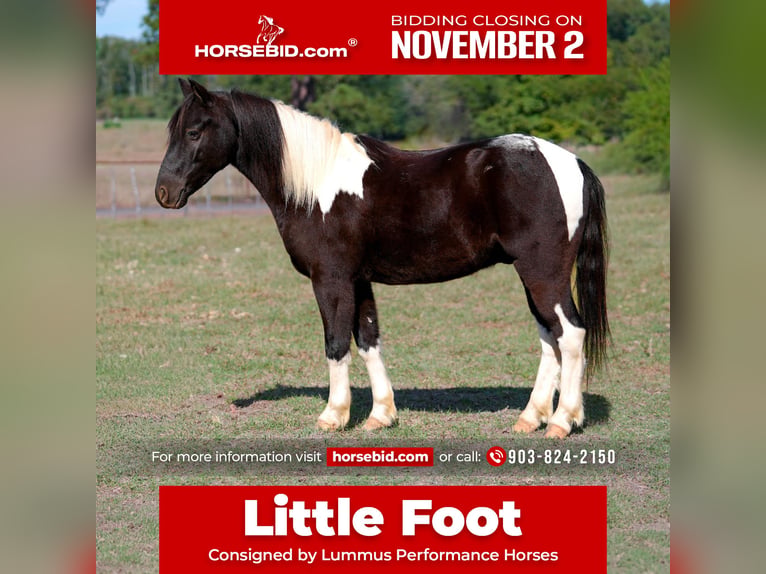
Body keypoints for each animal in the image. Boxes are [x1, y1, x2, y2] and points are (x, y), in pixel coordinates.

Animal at [155, 79, 609, 438]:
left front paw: (333, 416)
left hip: (543, 273)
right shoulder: (359, 280)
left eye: (193, 131)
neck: (317, 185)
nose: (164, 192)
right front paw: (380, 415)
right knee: (550, 338)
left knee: (570, 335)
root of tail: (571, 162)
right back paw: (531, 418)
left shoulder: (331, 279)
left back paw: (561, 421)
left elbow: (337, 343)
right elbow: (368, 341)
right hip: (532, 276)